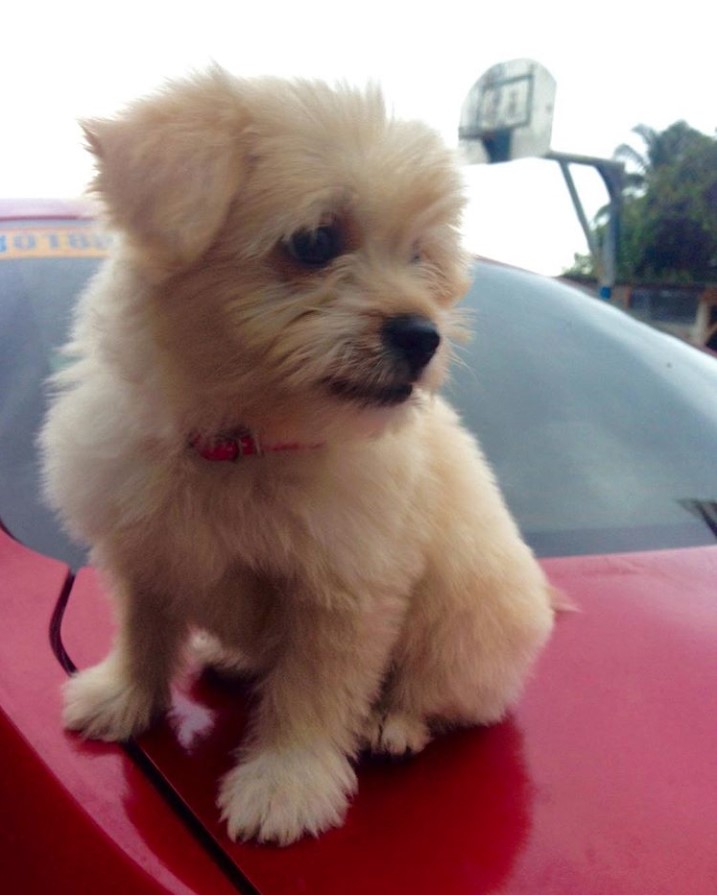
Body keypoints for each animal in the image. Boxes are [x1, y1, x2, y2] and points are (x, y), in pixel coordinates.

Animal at [40, 70, 552, 848]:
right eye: (314, 241)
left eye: (419, 257)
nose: (423, 335)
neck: (241, 440)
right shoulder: (144, 549)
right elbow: (143, 630)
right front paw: (122, 697)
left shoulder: (342, 593)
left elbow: (310, 694)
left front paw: (284, 785)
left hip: (469, 620)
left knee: (447, 693)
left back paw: (394, 721)